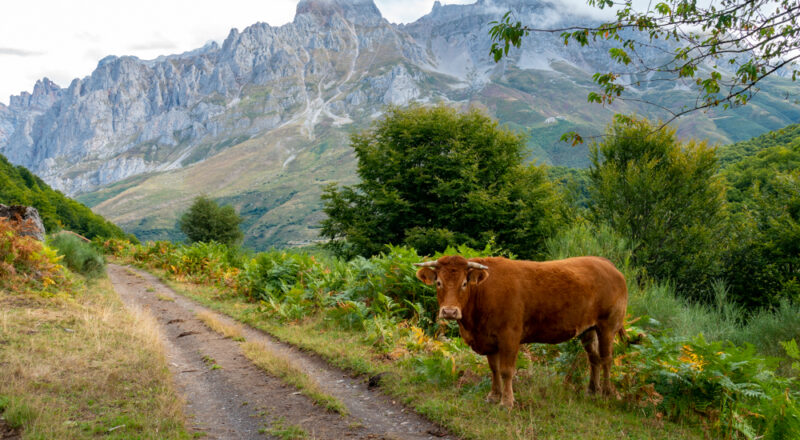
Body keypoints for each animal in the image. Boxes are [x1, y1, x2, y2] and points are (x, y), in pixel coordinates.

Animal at [414, 255, 627, 408]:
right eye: (439, 283)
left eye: (464, 284)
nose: (449, 311)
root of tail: (604, 262)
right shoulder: (489, 339)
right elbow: (494, 369)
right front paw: (494, 396)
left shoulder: (510, 335)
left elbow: (507, 370)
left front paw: (507, 402)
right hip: (589, 329)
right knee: (594, 358)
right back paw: (592, 390)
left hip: (608, 326)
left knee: (607, 359)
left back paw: (607, 393)